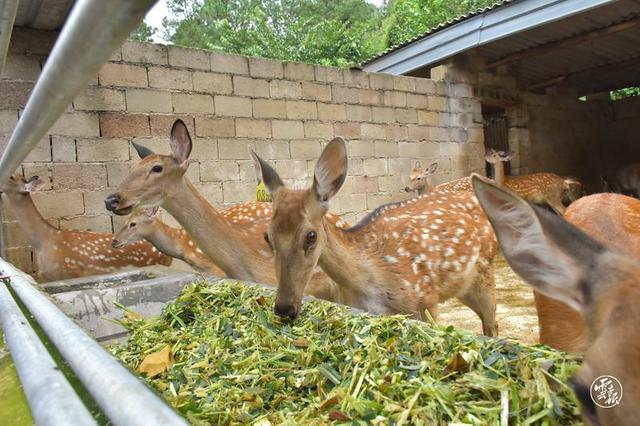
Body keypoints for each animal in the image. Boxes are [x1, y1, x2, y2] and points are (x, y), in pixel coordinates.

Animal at [252, 136, 498, 336]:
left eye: (311, 235)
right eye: (267, 236)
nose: (284, 308)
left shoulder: (424, 299)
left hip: (485, 272)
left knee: (492, 324)